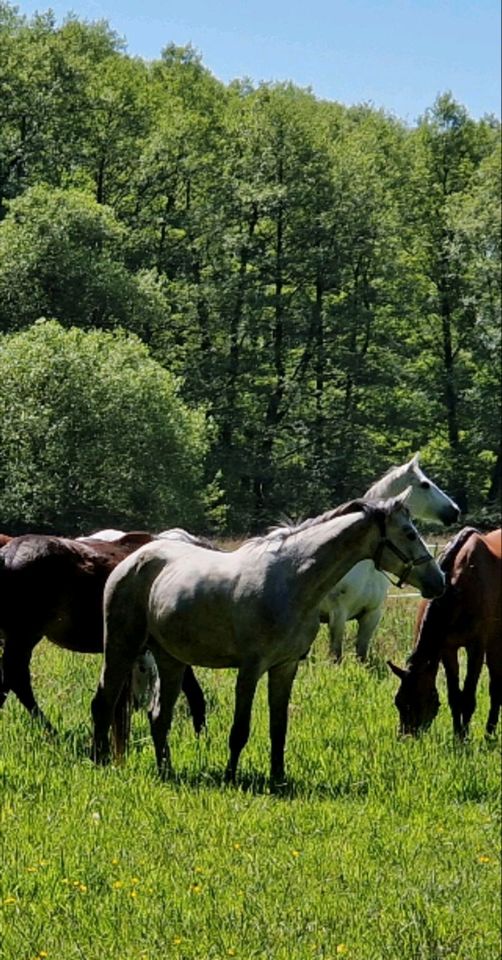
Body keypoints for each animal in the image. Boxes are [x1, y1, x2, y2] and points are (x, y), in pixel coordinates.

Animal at [0, 532, 206, 736]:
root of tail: (7, 556)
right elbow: (192, 688)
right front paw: (200, 731)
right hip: (24, 635)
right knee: (16, 677)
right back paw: (52, 730)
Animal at [91, 496, 444, 788]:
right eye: (409, 534)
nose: (437, 582)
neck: (292, 582)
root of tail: (130, 561)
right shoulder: (251, 668)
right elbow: (240, 729)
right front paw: (231, 777)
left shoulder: (285, 667)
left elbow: (279, 727)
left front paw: (278, 777)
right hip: (122, 649)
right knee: (104, 704)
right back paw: (101, 762)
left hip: (170, 660)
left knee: (159, 717)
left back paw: (166, 771)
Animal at [320, 452, 456, 660]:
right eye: (425, 484)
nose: (455, 511)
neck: (366, 568)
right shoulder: (338, 616)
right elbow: (336, 655)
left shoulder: (371, 616)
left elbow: (362, 655)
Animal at [390, 528, 500, 740]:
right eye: (398, 702)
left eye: (419, 701)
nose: (406, 739)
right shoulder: (448, 648)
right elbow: (454, 696)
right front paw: (459, 736)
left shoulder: (476, 647)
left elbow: (468, 696)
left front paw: (465, 738)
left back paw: (489, 734)